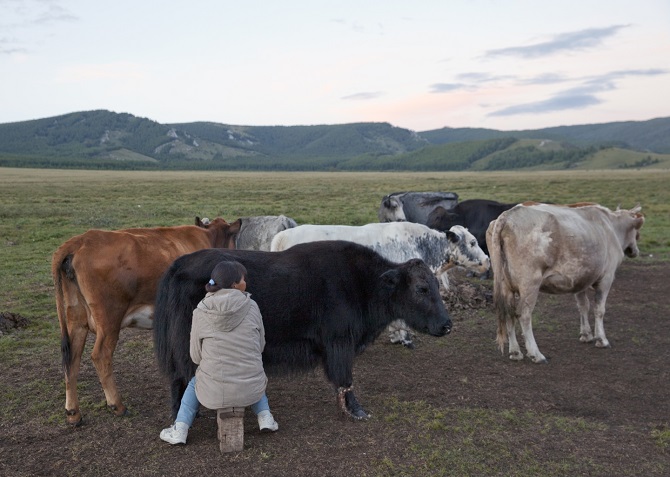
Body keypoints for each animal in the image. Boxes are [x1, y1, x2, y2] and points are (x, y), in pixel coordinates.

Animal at [52, 216, 242, 424]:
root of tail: (80, 240)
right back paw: (117, 405)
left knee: (72, 357)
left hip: (76, 317)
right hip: (110, 319)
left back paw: (73, 412)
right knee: (101, 355)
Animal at [155, 240, 454, 418]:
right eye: (421, 288)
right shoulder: (339, 343)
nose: (447, 325)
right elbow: (345, 378)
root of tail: (179, 264)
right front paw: (357, 411)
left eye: (436, 286)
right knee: (181, 378)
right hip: (188, 345)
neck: (364, 283)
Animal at [270, 221, 490, 348]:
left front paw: (396, 337)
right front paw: (405, 338)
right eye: (472, 242)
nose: (487, 260)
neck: (421, 244)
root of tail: (283, 236)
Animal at [486, 203, 648, 362]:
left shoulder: (581, 279)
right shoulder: (606, 278)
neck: (611, 226)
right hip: (529, 284)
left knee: (509, 314)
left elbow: (583, 306)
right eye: (636, 231)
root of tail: (507, 215)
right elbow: (599, 309)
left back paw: (515, 352)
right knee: (523, 315)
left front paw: (586, 334)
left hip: (505, 285)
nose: (635, 251)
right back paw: (536, 354)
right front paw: (601, 339)